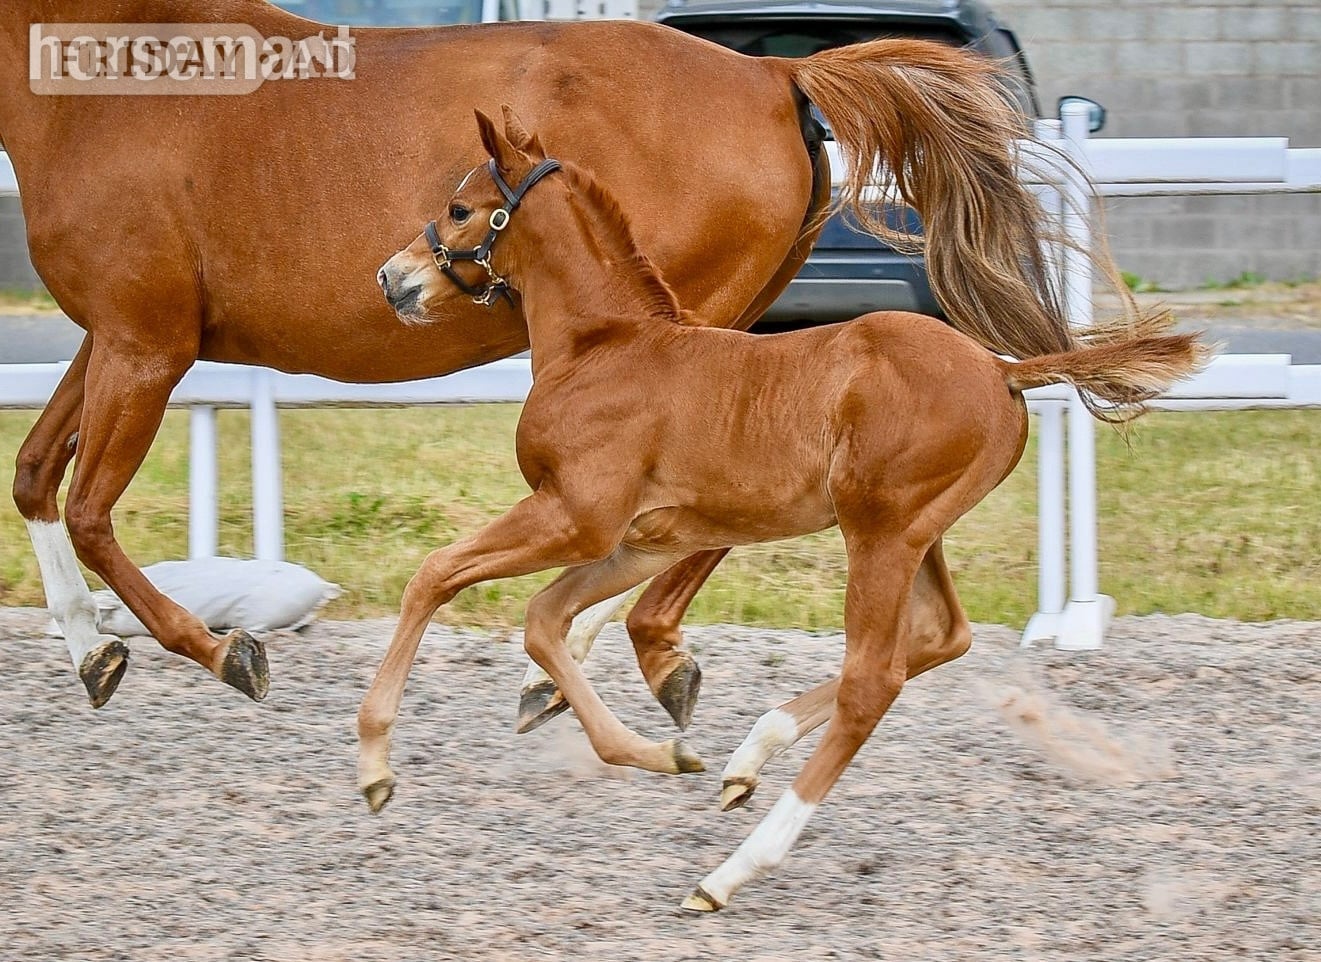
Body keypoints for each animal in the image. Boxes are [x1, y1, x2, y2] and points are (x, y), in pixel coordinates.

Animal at [5, 2, 1122, 715]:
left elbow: (91, 508)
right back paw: (612, 658)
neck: (104, 80)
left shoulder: (147, 342)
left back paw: (592, 663)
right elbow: (37, 476)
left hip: (702, 324)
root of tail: (772, 71)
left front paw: (222, 650)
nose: (391, 281)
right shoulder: (110, 336)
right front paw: (93, 655)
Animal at [358, 108, 1207, 910]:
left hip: (878, 535)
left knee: (873, 679)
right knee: (940, 637)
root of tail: (1000, 368)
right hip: (915, 534)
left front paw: (372, 765)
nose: (392, 278)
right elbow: (543, 621)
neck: (604, 349)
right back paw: (746, 760)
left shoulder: (575, 516)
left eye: (460, 208)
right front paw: (659, 751)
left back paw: (728, 873)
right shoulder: (643, 541)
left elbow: (435, 575)